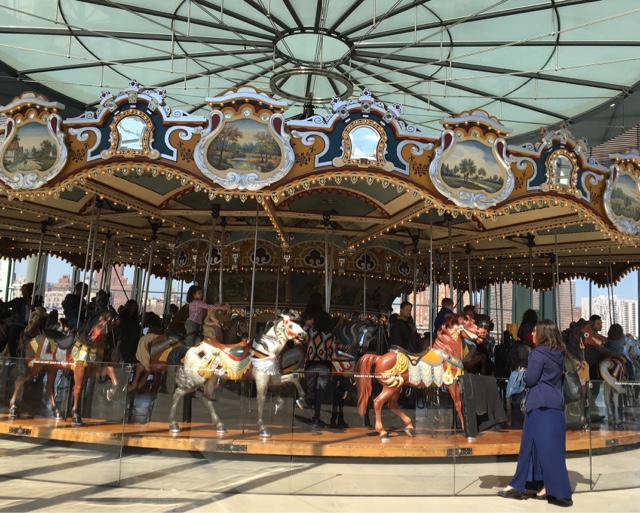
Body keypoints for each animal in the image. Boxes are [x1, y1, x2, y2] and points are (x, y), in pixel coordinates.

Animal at [167, 311, 308, 438]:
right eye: (290, 325)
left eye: (299, 324)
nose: (304, 334)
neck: (266, 350)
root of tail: (189, 349)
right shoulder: (261, 378)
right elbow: (261, 399)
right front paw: (263, 429)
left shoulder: (273, 378)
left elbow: (294, 378)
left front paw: (300, 401)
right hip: (197, 379)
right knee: (178, 393)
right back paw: (174, 425)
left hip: (210, 379)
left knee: (206, 399)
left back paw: (220, 426)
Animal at [355, 313, 484, 442]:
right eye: (469, 323)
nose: (483, 332)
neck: (447, 353)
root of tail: (379, 358)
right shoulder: (451, 383)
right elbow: (458, 403)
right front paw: (464, 429)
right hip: (390, 387)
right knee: (378, 402)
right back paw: (383, 433)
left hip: (396, 387)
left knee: (392, 405)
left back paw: (409, 428)